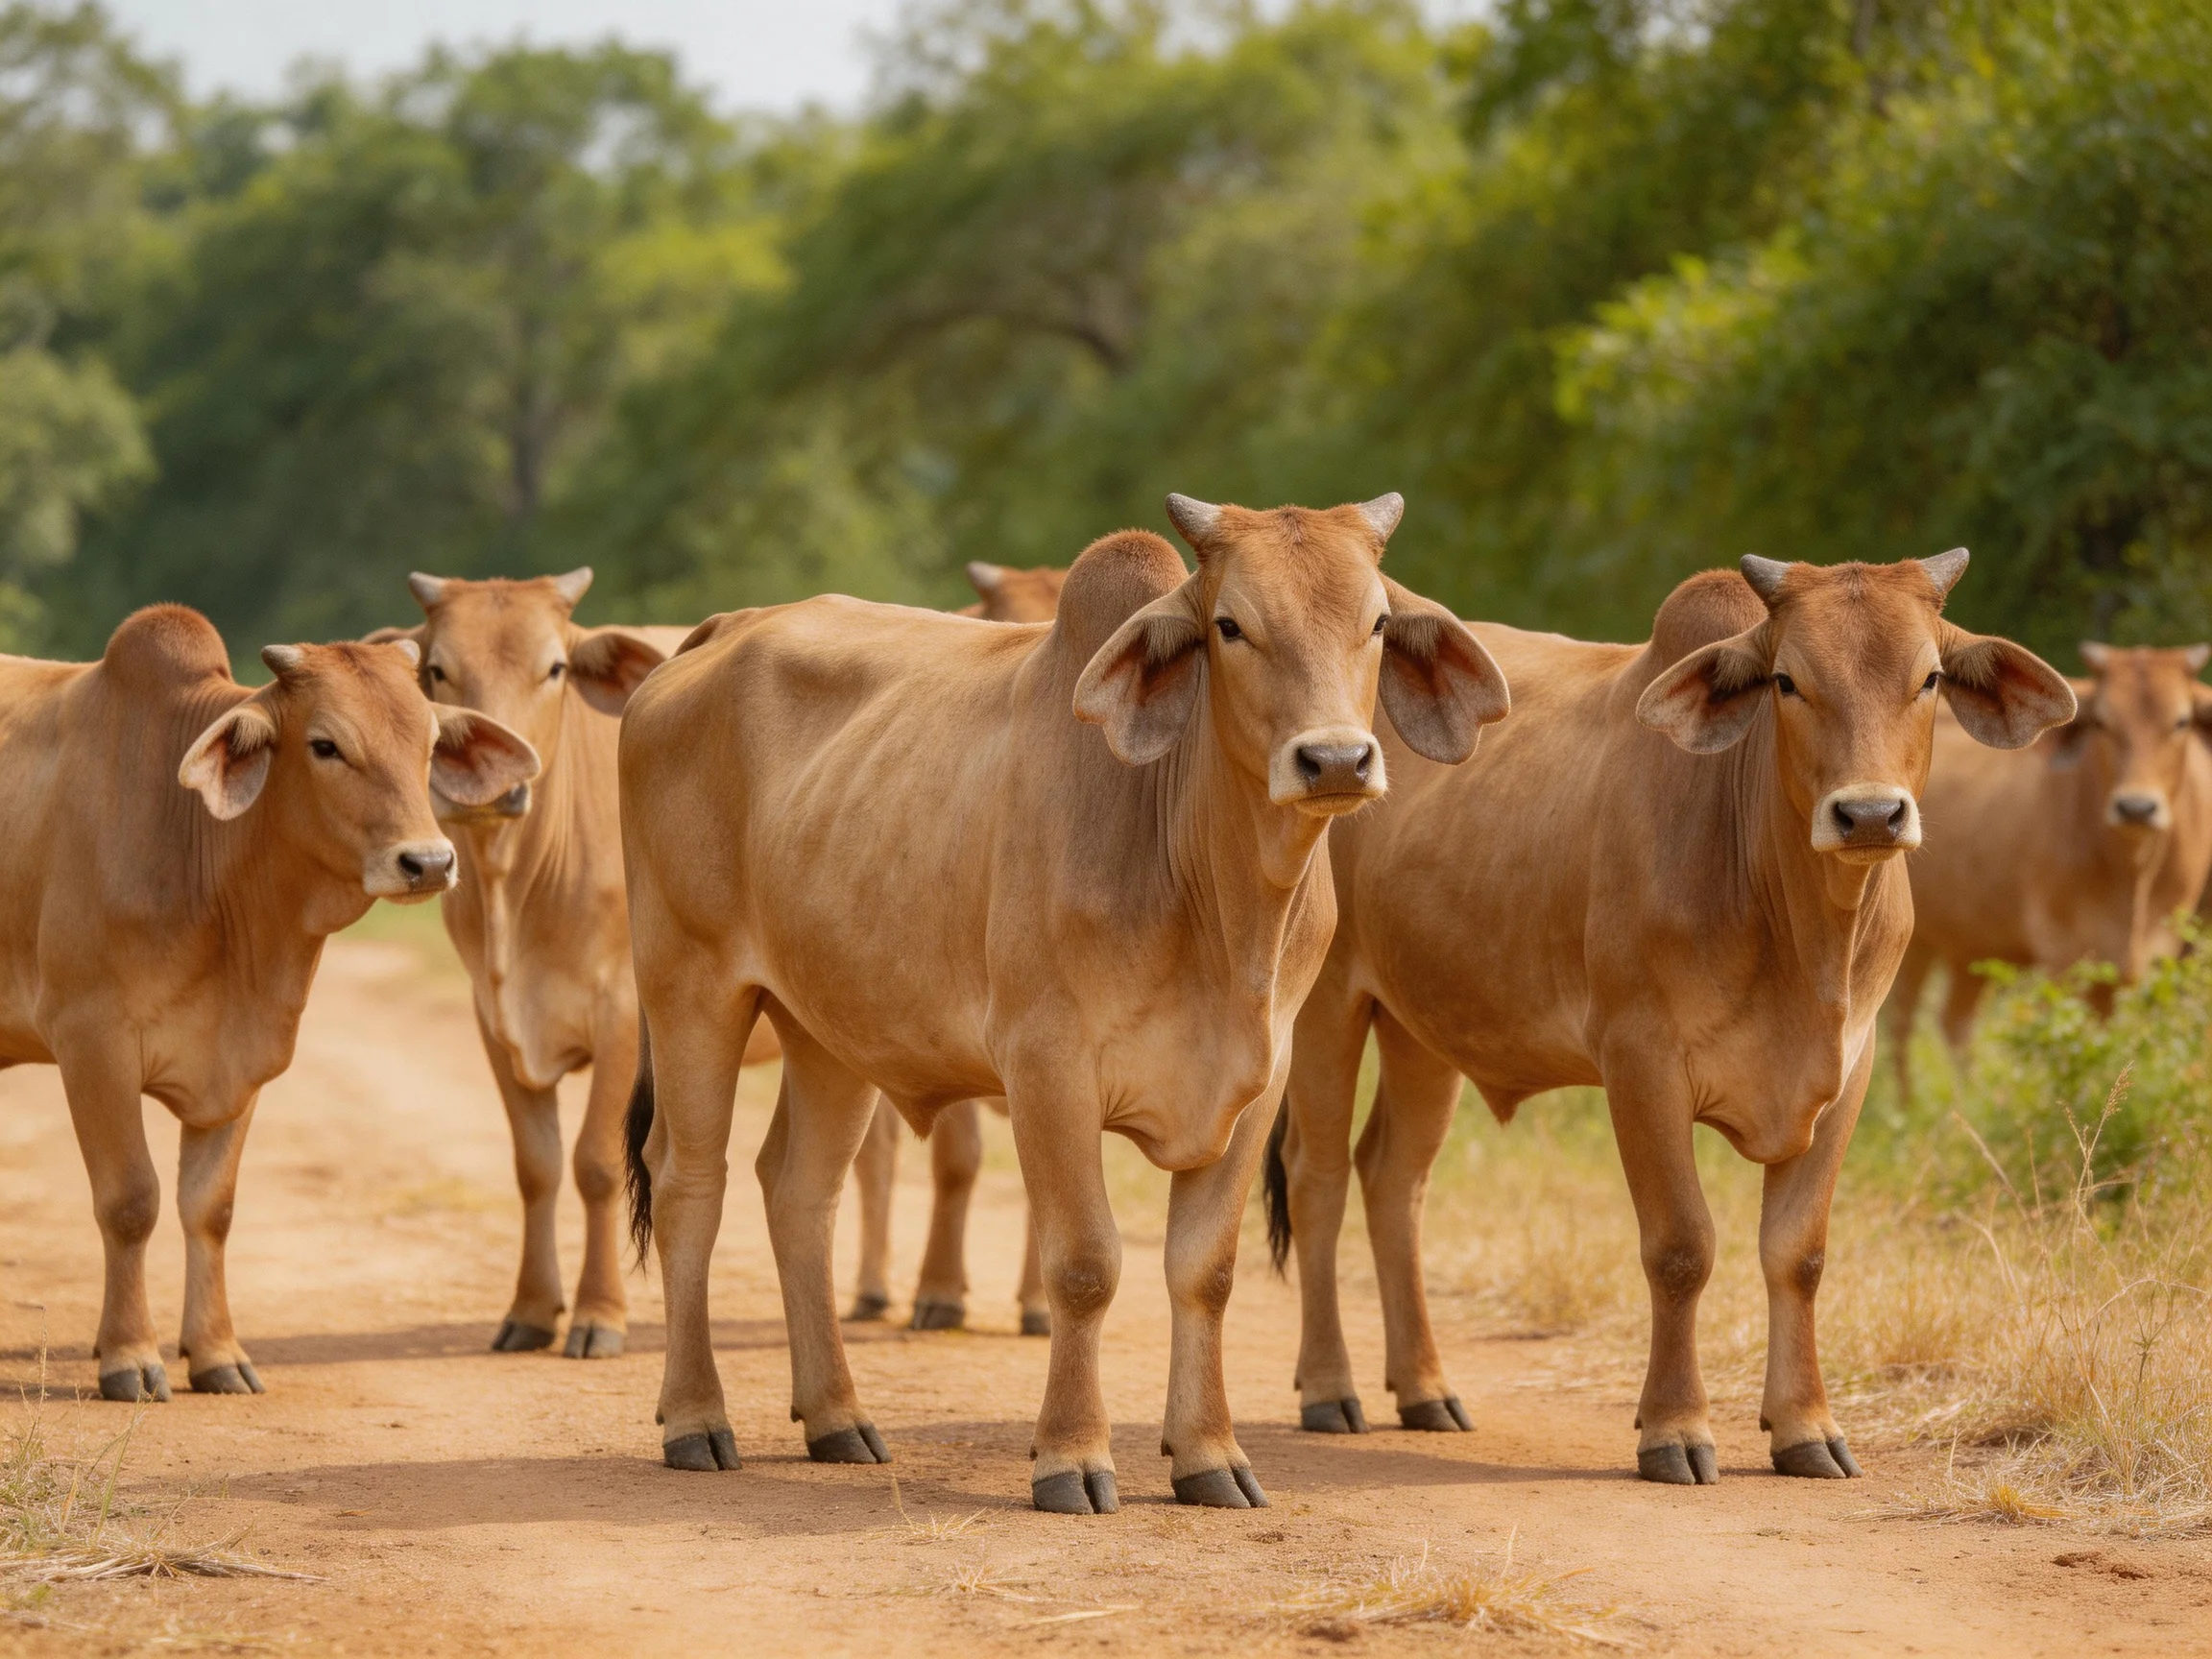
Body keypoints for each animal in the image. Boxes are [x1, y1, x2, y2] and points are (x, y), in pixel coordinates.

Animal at [0, 607, 537, 1401]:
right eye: (326, 745)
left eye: (430, 744)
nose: (428, 862)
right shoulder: (90, 1042)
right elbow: (130, 1202)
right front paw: (130, 1356)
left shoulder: (242, 1062)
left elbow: (209, 1209)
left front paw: (217, 1353)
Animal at [370, 569, 778, 1358]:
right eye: (438, 670)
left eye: (554, 668)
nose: (493, 788)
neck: (517, 891)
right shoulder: (492, 1017)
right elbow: (536, 1165)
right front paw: (530, 1310)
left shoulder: (623, 1012)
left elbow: (595, 1163)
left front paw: (597, 1315)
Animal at [1264, 552, 2072, 1484]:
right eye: (1787, 680)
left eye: (1930, 677)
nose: (1870, 814)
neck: (1798, 932)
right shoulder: (1640, 1062)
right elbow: (1682, 1248)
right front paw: (1676, 1429)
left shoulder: (1849, 1069)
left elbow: (1798, 1255)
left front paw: (1805, 1427)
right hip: (1327, 1003)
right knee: (1318, 1176)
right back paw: (1332, 1388)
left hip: (1421, 1027)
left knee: (1394, 1180)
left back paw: (1426, 1388)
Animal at [1889, 643, 2212, 1091]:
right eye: (2103, 723)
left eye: (2180, 721)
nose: (2137, 807)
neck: (2132, 873)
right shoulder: (2062, 958)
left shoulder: (2148, 958)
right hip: (1914, 941)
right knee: (1900, 1026)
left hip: (1970, 946)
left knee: (1955, 1022)